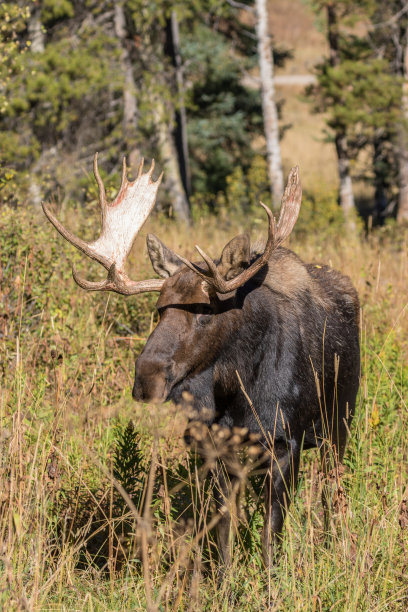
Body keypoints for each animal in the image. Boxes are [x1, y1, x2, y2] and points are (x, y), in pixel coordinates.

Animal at [42, 157, 360, 568]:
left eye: (206, 310)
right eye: (159, 309)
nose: (146, 378)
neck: (238, 388)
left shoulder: (285, 442)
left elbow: (270, 532)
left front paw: (271, 579)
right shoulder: (212, 444)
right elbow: (224, 526)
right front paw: (224, 579)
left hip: (339, 425)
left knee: (332, 494)